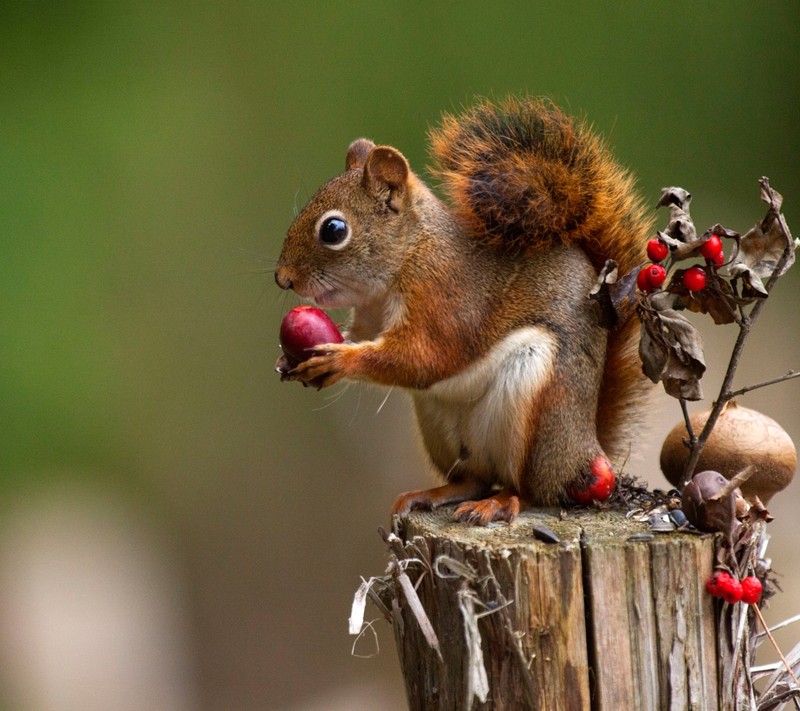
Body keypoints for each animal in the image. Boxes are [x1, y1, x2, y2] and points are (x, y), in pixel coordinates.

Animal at [274, 97, 648, 524]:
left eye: (334, 230)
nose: (282, 279)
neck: (406, 258)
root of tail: (587, 454)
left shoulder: (445, 297)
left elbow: (424, 357)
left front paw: (337, 361)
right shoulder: (370, 318)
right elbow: (368, 341)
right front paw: (291, 363)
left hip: (537, 412)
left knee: (531, 489)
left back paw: (501, 502)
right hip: (439, 426)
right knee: (475, 477)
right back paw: (434, 493)